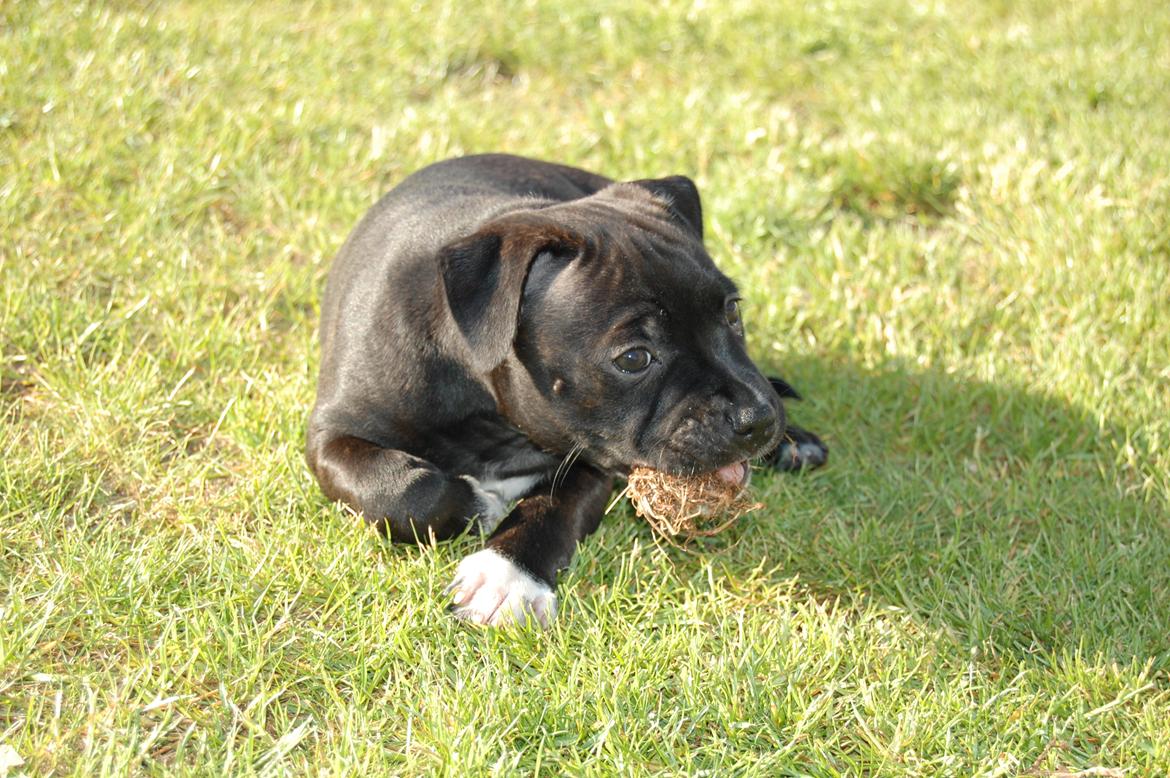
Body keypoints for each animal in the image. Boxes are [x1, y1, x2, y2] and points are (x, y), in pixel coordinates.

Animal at [306, 153, 828, 627]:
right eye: (634, 358)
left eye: (732, 311)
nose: (757, 418)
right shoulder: (331, 433)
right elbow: (400, 490)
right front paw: (478, 504)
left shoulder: (591, 456)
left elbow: (553, 506)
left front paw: (507, 577)